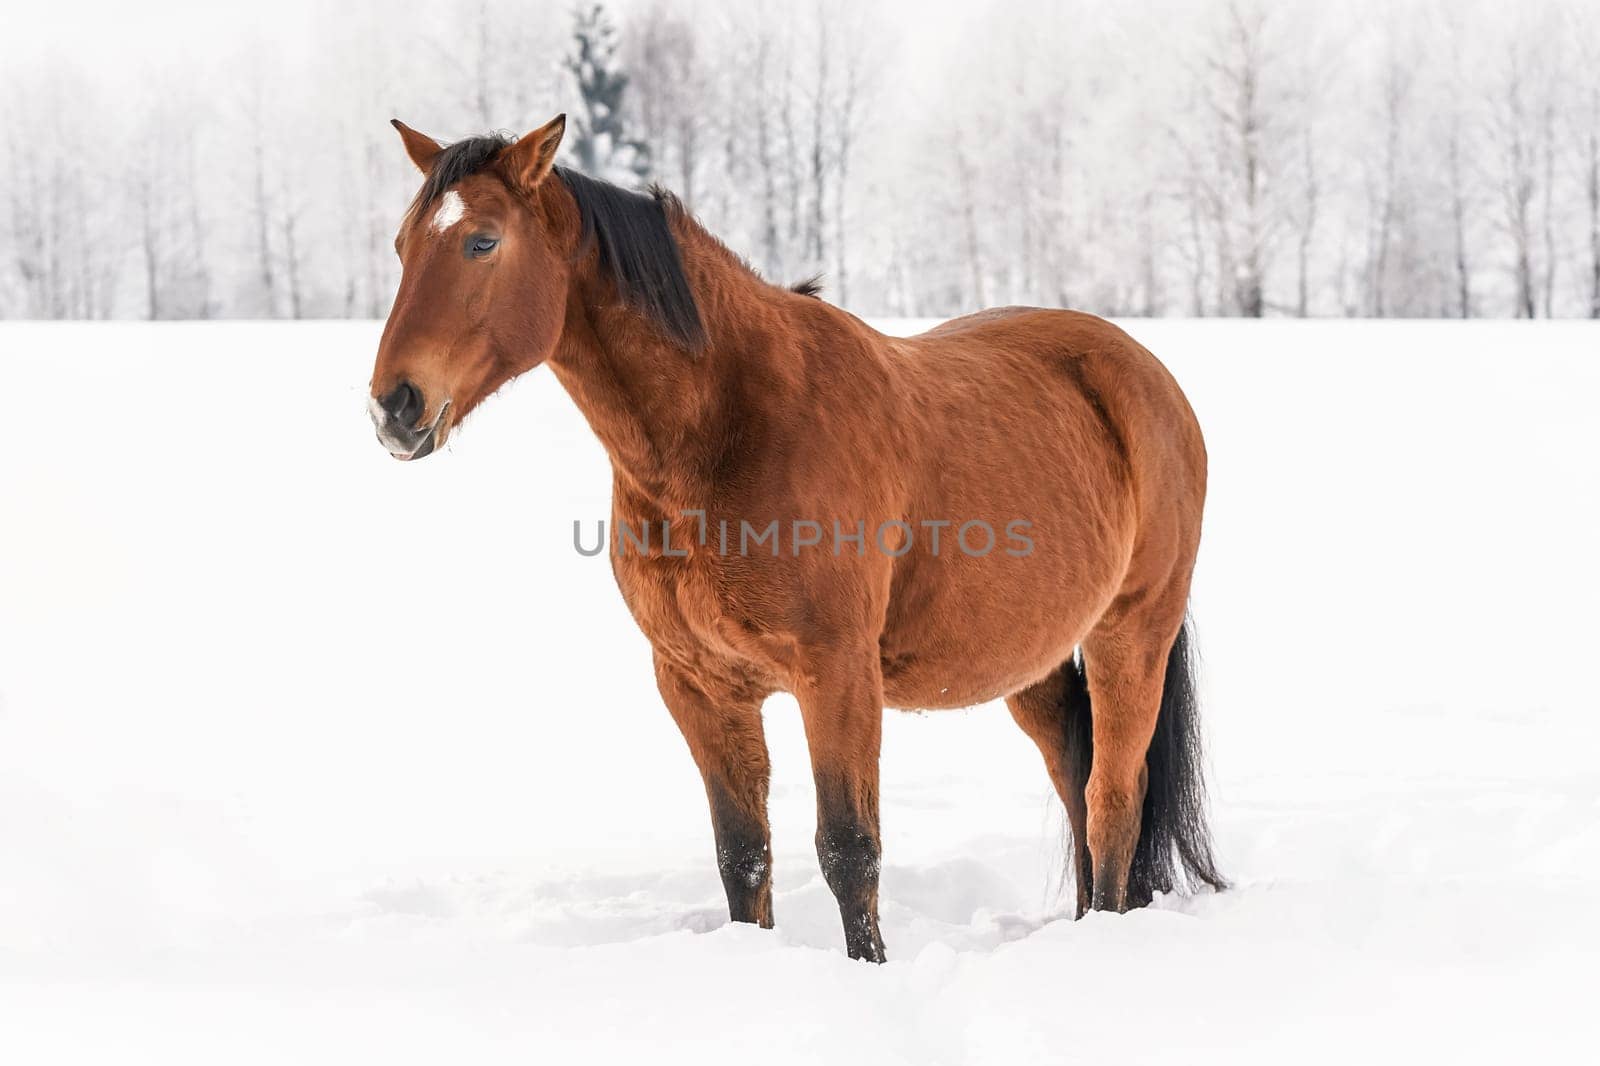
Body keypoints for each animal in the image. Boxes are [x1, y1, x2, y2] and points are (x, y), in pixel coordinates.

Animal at [368, 116, 1216, 960]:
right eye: (403, 246)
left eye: (483, 241)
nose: (393, 407)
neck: (729, 427)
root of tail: (1149, 377)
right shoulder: (700, 685)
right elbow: (742, 854)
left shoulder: (836, 673)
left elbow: (849, 849)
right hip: (1028, 655)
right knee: (1076, 770)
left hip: (1129, 633)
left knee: (1112, 798)